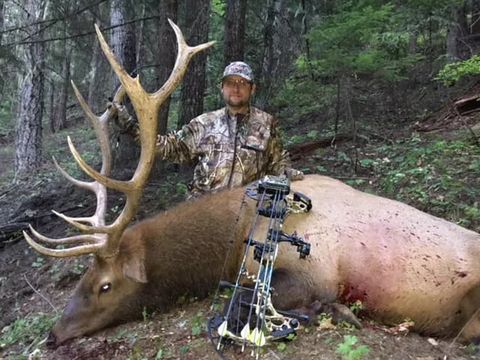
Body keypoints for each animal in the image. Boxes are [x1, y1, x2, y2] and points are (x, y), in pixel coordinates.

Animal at [24, 22, 480, 346]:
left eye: (105, 285)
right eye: (83, 278)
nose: (52, 335)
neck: (232, 242)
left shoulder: (315, 273)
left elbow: (251, 299)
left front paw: (331, 311)